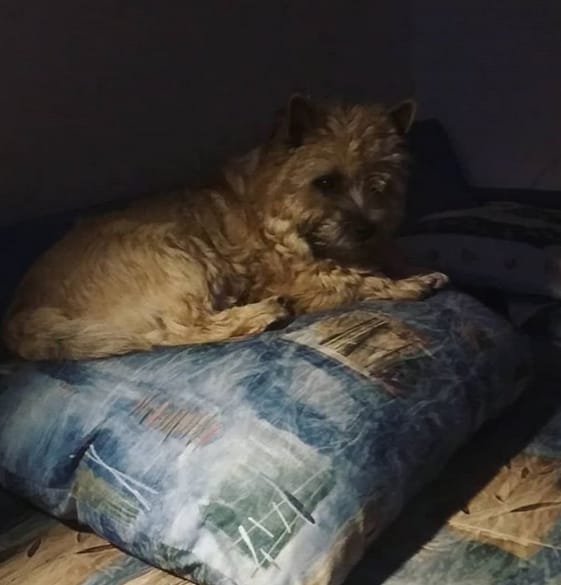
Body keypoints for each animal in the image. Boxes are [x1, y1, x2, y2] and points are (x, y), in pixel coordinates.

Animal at [1, 95, 448, 361]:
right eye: (326, 182)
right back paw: (262, 313)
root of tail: (22, 312)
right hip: (177, 254)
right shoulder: (303, 278)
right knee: (179, 329)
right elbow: (356, 279)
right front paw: (409, 284)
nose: (365, 229)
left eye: (380, 184)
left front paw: (407, 265)